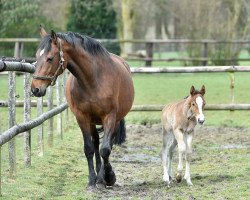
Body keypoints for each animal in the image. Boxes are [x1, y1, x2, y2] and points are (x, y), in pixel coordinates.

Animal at [31, 27, 135, 189]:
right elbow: (89, 148)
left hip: (116, 120)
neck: (94, 80)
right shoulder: (82, 117)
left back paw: (103, 176)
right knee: (96, 141)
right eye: (37, 57)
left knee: (108, 143)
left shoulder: (110, 117)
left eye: (50, 58)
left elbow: (106, 149)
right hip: (92, 121)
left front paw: (109, 177)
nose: (35, 89)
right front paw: (92, 180)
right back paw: (99, 174)